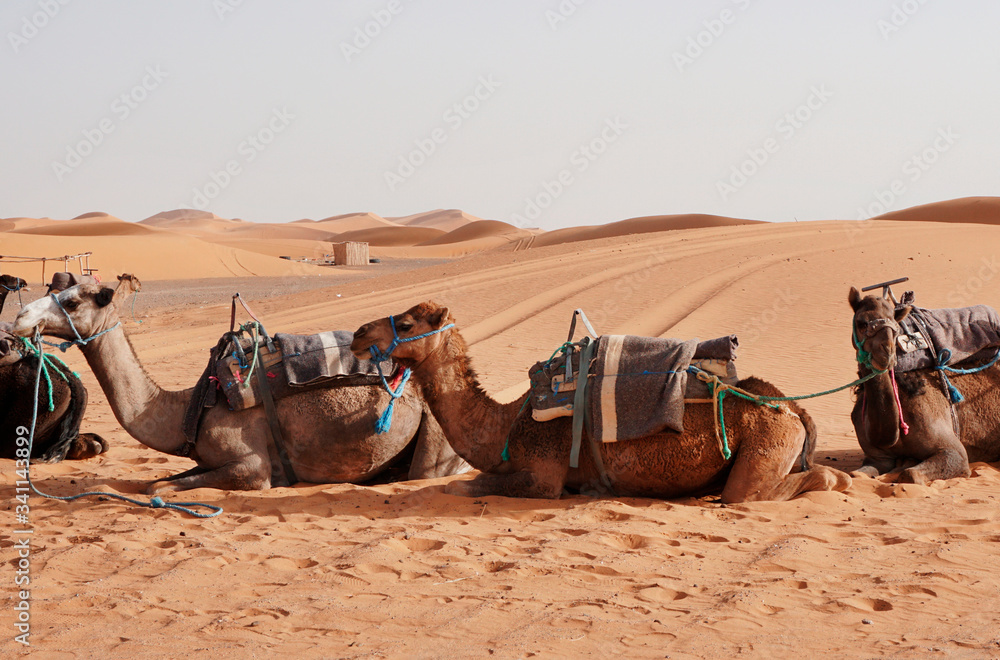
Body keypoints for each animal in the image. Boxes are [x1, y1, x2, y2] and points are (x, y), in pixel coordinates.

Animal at [12, 283, 469, 493]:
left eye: (72, 301)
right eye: (57, 290)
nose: (18, 318)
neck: (188, 407)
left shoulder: (252, 467)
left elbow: (159, 487)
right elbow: (156, 481)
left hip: (435, 434)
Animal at [350, 302, 853, 502]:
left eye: (408, 324)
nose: (357, 333)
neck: (507, 423)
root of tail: (793, 408)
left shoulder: (544, 477)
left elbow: (466, 486)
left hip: (766, 444)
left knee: (804, 482)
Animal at [848, 288, 1000, 483]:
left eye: (895, 327)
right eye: (862, 323)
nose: (887, 353)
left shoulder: (954, 452)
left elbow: (909, 474)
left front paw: (904, 467)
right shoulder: (877, 458)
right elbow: (854, 475)